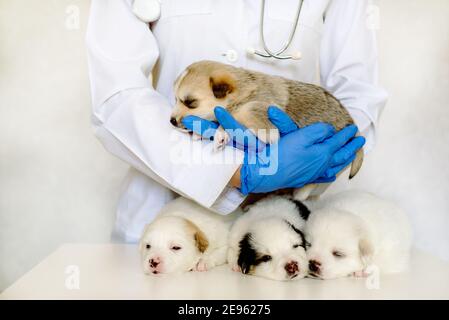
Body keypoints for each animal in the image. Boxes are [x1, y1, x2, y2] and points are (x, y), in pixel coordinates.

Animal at [170, 60, 362, 200]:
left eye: (190, 102)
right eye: (176, 99)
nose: (171, 121)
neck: (243, 92)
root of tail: (353, 125)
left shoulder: (257, 107)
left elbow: (244, 114)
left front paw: (221, 132)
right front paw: (202, 131)